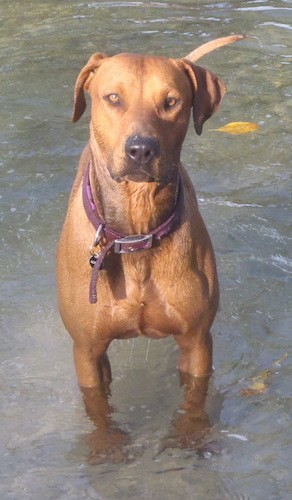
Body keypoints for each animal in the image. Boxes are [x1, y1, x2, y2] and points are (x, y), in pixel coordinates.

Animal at [56, 37, 244, 446]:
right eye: (113, 98)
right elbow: (98, 407)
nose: (141, 149)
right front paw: (106, 447)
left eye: (171, 101)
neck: (136, 231)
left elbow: (194, 396)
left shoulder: (196, 340)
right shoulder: (87, 349)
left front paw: (190, 435)